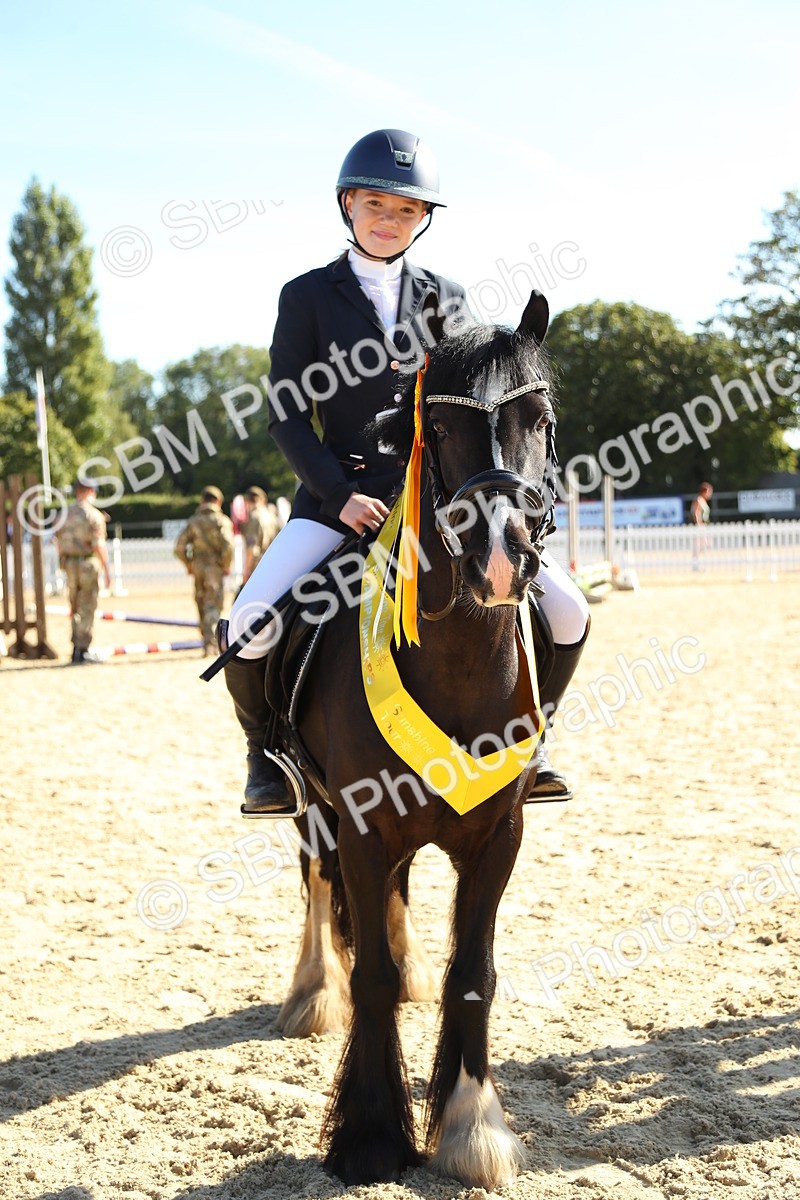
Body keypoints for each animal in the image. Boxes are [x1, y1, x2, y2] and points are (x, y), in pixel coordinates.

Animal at [275, 289, 556, 1189]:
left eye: (539, 418)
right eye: (439, 423)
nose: (500, 558)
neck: (459, 662)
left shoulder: (500, 834)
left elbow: (474, 974)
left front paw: (471, 1128)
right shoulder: (362, 825)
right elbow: (370, 974)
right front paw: (370, 1137)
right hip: (308, 802)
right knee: (316, 882)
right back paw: (310, 993)